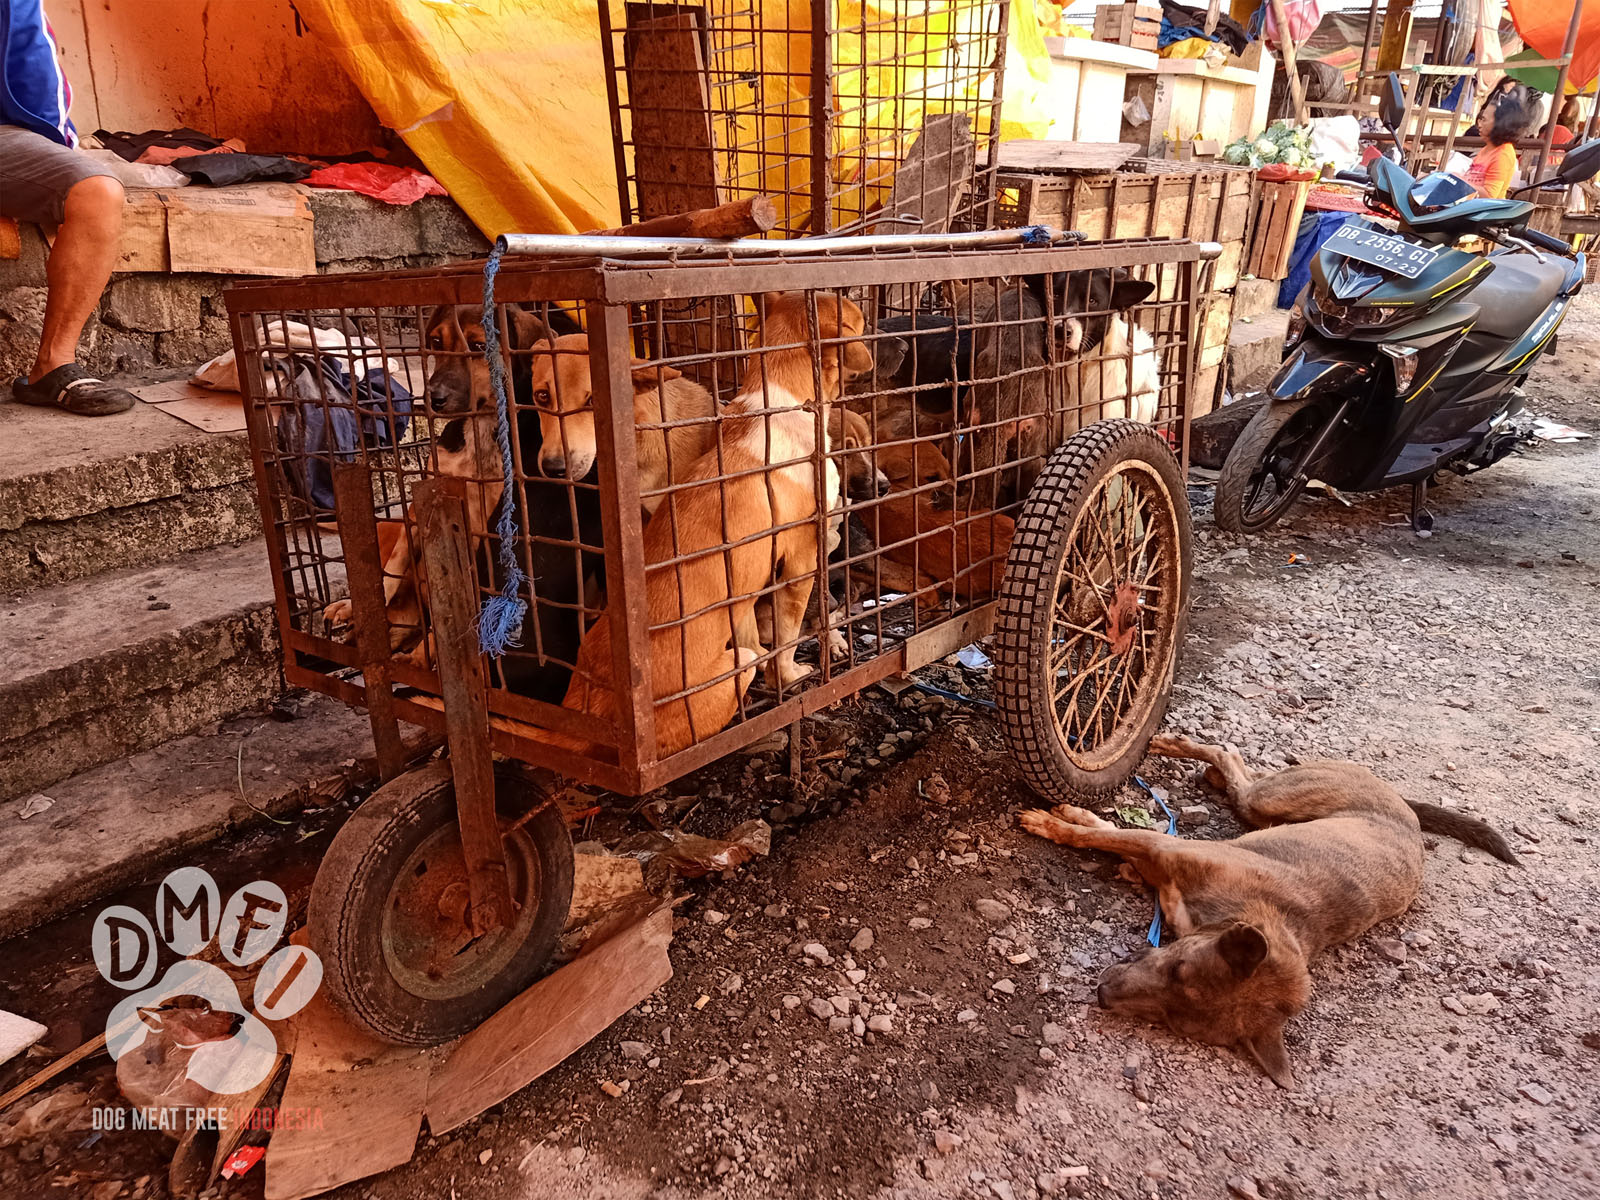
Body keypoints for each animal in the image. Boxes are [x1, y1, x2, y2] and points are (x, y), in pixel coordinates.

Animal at [553, 291, 876, 755]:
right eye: (860, 320)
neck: (780, 398)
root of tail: (593, 711)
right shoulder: (800, 559)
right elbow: (788, 636)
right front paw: (790, 676)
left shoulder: (746, 587)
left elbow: (753, 631)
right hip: (732, 669)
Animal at [1017, 732, 1516, 1088]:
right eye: (1177, 968)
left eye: (1174, 1021)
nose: (1102, 995)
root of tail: (1403, 808)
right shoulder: (1162, 846)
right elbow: (1100, 834)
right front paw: (1059, 822)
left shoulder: (1167, 869)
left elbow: (1115, 842)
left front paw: (1089, 835)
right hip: (1270, 800)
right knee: (1232, 758)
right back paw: (1180, 749)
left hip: (1267, 807)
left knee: (1239, 770)